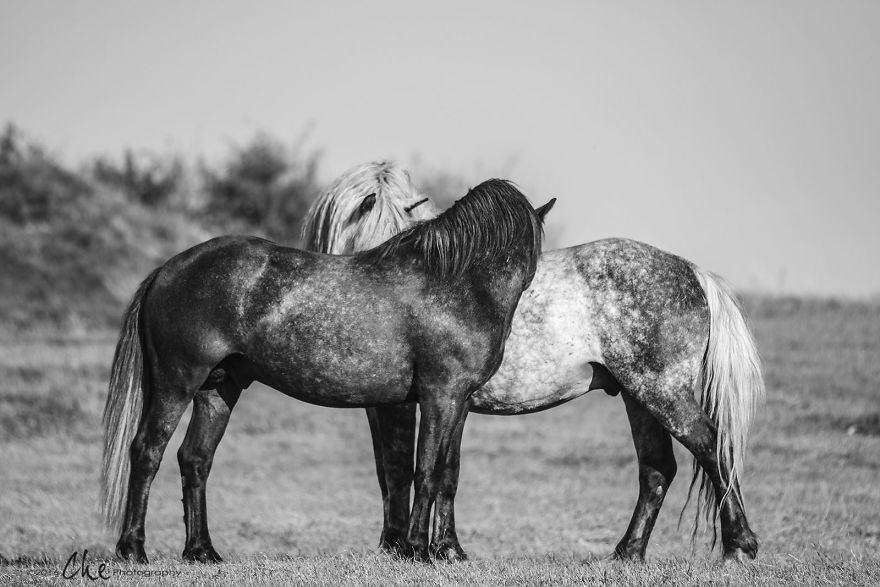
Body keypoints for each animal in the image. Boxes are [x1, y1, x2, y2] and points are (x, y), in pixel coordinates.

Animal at [100, 178, 555, 563]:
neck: (455, 284)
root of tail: (168, 269)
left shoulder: (458, 402)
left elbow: (448, 474)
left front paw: (450, 550)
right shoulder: (439, 396)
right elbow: (425, 471)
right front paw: (416, 549)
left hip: (218, 390)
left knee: (194, 459)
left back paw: (202, 552)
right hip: (176, 384)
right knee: (147, 451)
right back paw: (133, 550)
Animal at [301, 161, 765, 562]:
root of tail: (690, 271)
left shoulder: (407, 404)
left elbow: (403, 469)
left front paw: (402, 547)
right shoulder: (437, 403)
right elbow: (431, 471)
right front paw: (440, 548)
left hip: (662, 392)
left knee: (712, 447)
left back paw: (739, 545)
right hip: (639, 398)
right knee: (656, 469)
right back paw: (627, 552)